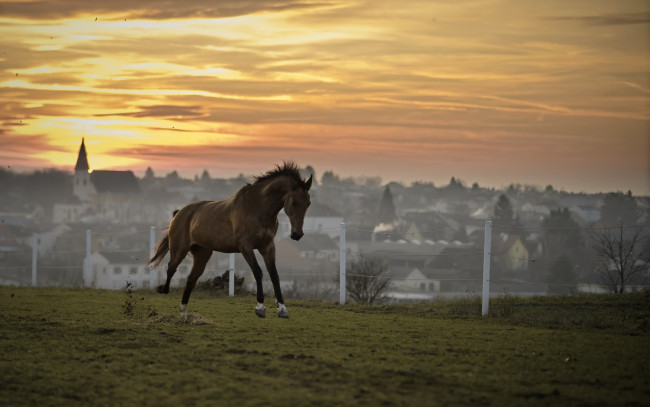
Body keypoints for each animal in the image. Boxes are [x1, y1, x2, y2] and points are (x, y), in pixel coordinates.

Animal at [148, 162, 310, 318]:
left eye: (308, 203)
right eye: (295, 202)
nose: (297, 234)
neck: (257, 208)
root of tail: (178, 213)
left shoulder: (267, 246)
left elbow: (274, 275)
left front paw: (282, 309)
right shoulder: (246, 247)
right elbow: (258, 272)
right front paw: (260, 308)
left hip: (202, 254)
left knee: (191, 279)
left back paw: (183, 313)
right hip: (179, 249)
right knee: (171, 268)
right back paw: (162, 289)